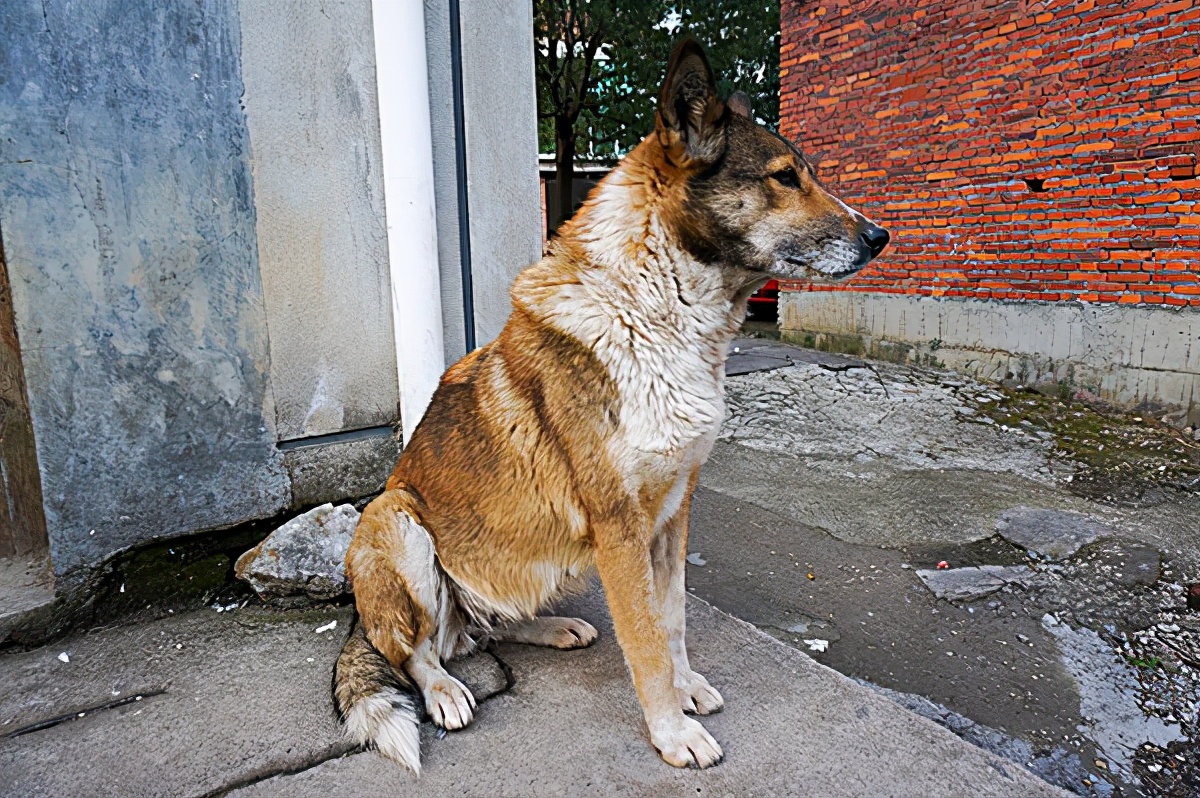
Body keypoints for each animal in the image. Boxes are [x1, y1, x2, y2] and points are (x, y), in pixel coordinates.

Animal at [333, 35, 888, 772]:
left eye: (807, 174)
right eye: (784, 177)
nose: (879, 237)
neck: (661, 311)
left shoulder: (675, 509)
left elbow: (672, 618)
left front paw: (686, 689)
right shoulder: (619, 527)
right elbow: (646, 639)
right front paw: (673, 732)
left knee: (484, 630)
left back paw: (552, 626)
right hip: (395, 521)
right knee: (420, 652)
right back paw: (446, 690)